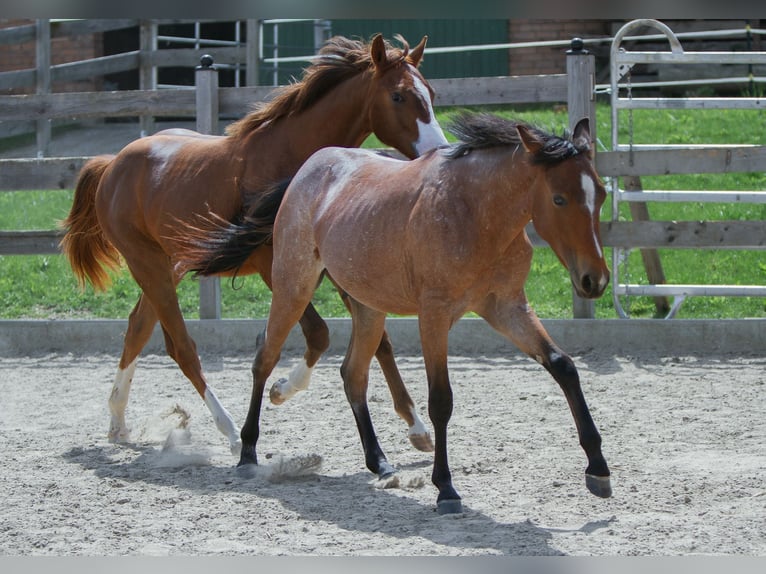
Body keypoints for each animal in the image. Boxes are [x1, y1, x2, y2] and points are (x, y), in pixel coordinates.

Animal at [59, 34, 447, 457]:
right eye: (398, 95)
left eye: (430, 93)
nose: (437, 151)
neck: (293, 158)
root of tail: (112, 164)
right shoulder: (271, 265)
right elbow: (318, 333)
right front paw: (280, 389)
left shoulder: (331, 265)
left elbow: (380, 341)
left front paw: (416, 427)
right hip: (147, 263)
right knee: (181, 346)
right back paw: (229, 431)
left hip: (167, 265)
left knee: (138, 327)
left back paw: (117, 422)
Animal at [185, 111, 612, 514]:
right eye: (559, 198)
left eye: (602, 194)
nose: (595, 280)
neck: (474, 211)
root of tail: (308, 169)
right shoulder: (434, 315)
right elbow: (441, 400)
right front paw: (446, 489)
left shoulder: (507, 308)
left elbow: (563, 366)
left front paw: (598, 469)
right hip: (294, 286)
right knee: (265, 359)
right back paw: (247, 451)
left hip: (368, 308)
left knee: (353, 374)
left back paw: (379, 461)